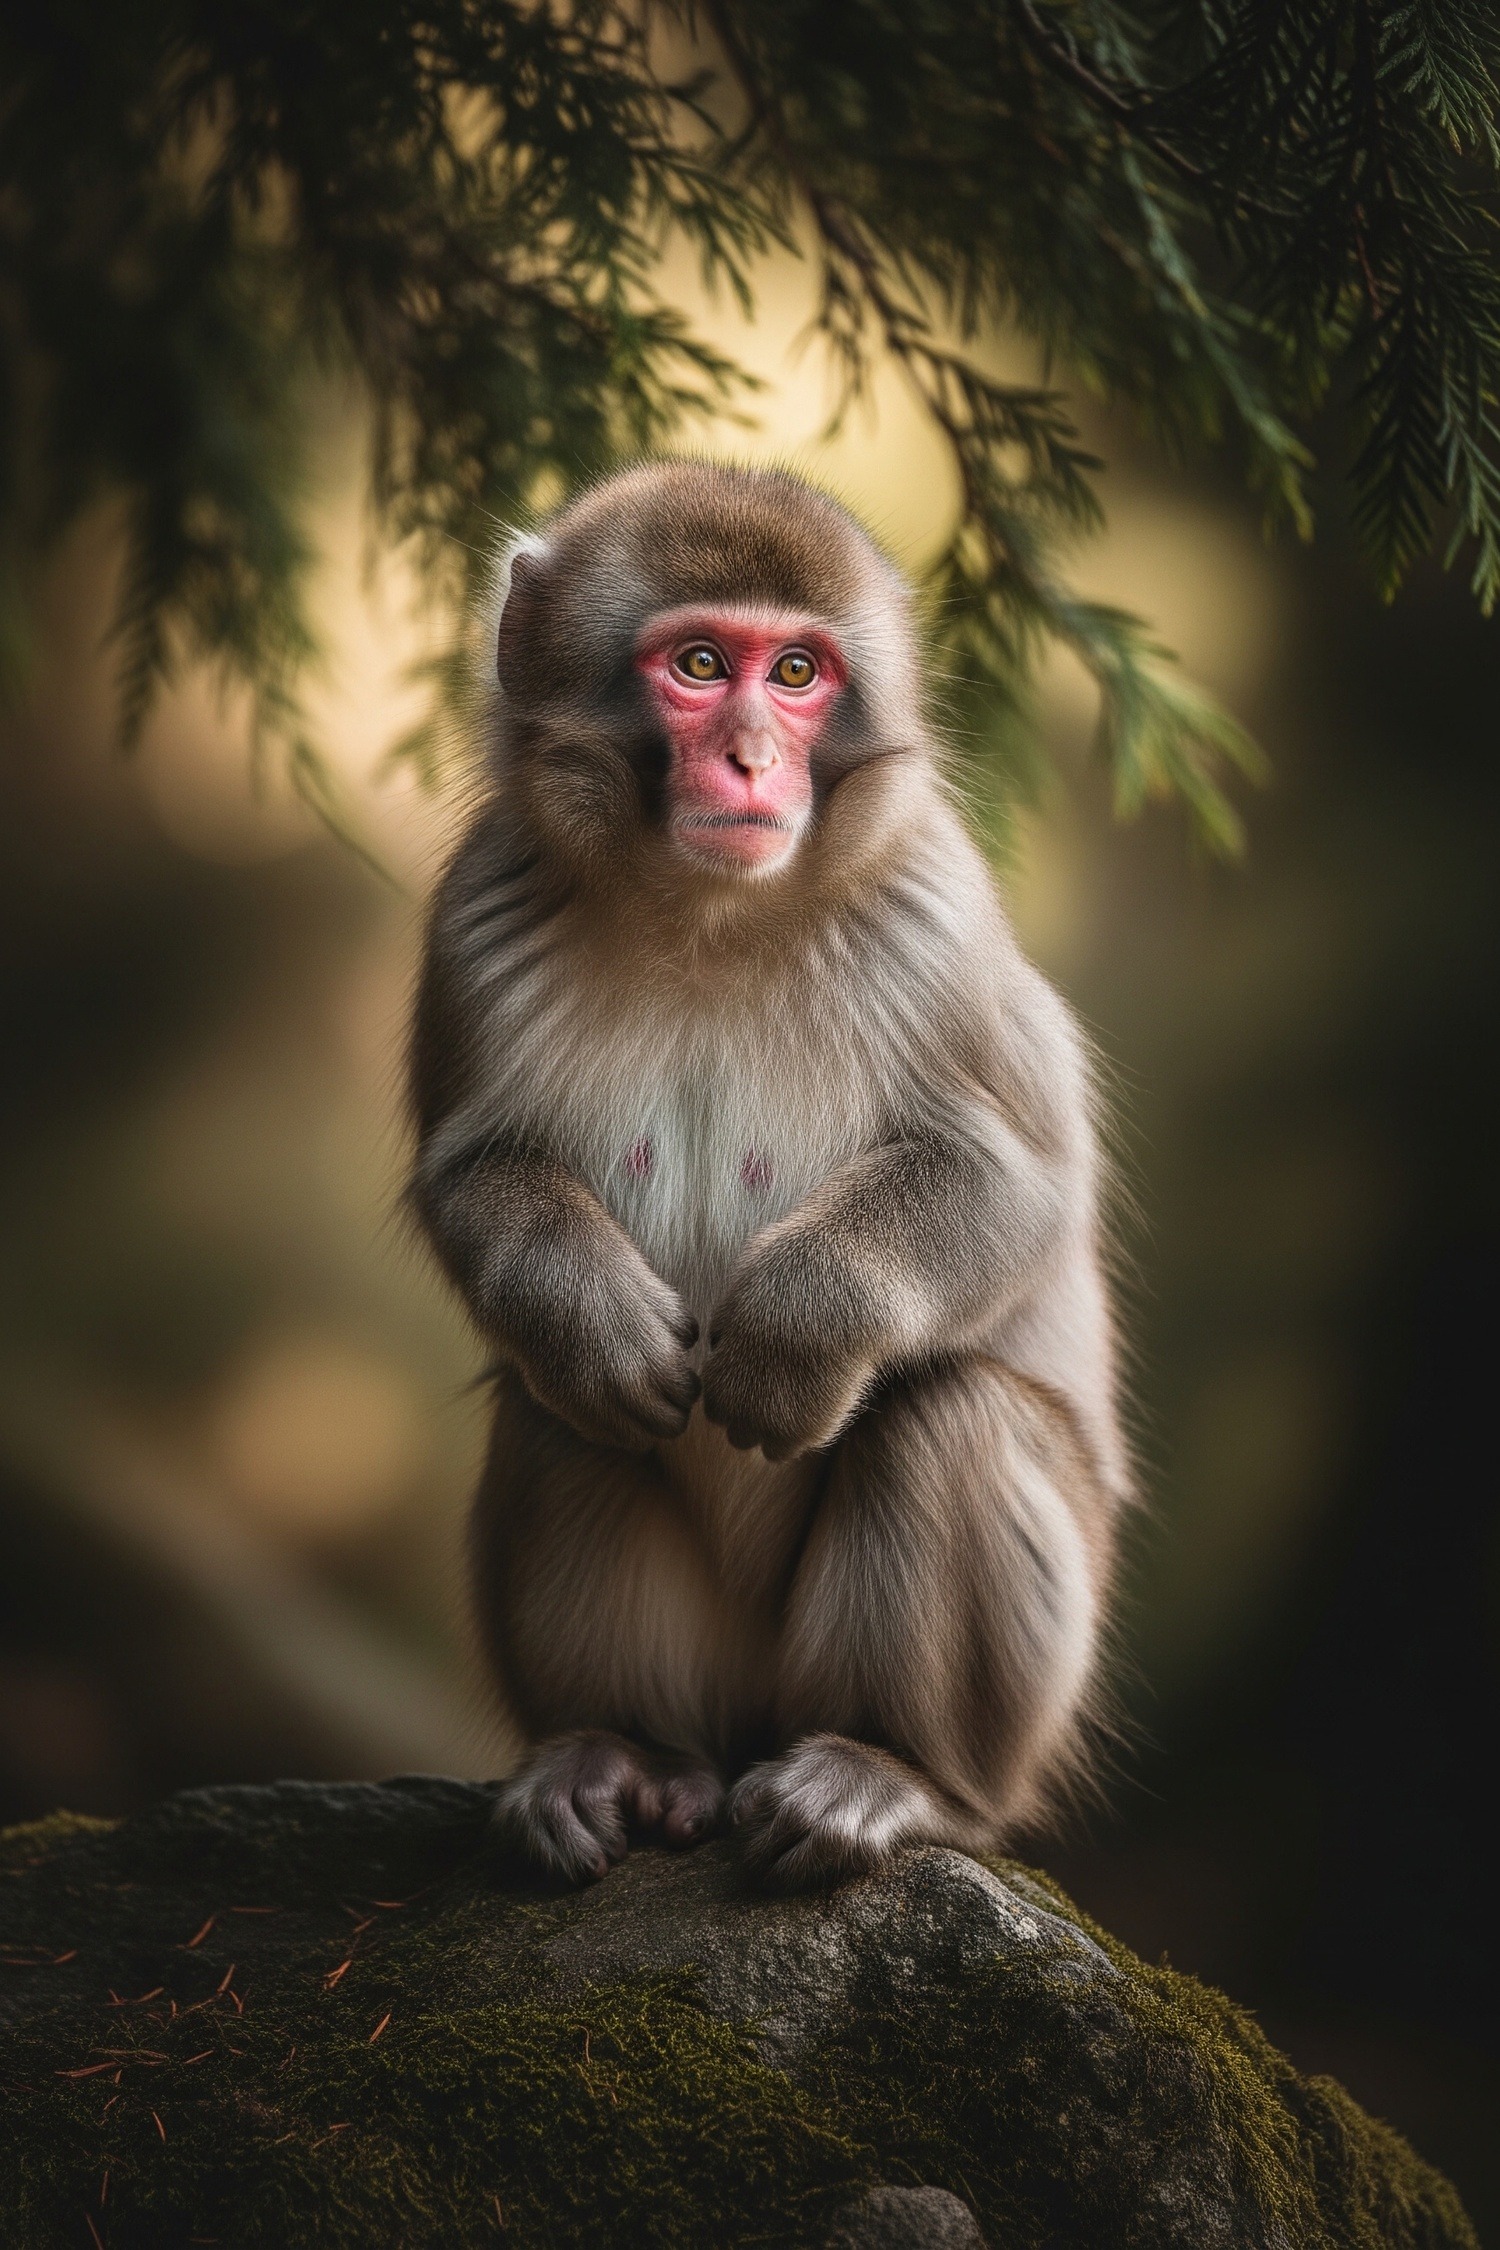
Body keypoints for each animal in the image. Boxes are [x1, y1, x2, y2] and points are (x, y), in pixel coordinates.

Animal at [409, 460, 1131, 1893]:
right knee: (560, 1413)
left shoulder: (935, 913)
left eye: (797, 673)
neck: (710, 912)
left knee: (948, 1413)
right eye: (699, 665)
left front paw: (801, 1331)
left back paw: (894, 1779)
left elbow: (1014, 1184)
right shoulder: (478, 914)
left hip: (1002, 1700)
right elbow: (470, 1174)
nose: (749, 758)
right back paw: (621, 1756)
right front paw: (586, 1310)